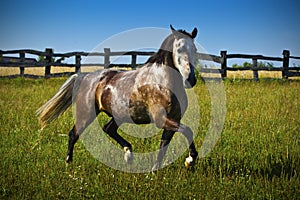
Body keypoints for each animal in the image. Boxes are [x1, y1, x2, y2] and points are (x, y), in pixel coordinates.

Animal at [37, 25, 199, 170]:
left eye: (195, 49)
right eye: (179, 49)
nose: (190, 79)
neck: (162, 82)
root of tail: (85, 77)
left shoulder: (173, 119)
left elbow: (165, 146)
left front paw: (155, 170)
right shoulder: (161, 119)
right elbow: (188, 131)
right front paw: (190, 160)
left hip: (119, 115)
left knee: (108, 128)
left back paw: (128, 155)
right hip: (86, 113)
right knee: (74, 134)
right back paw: (68, 163)